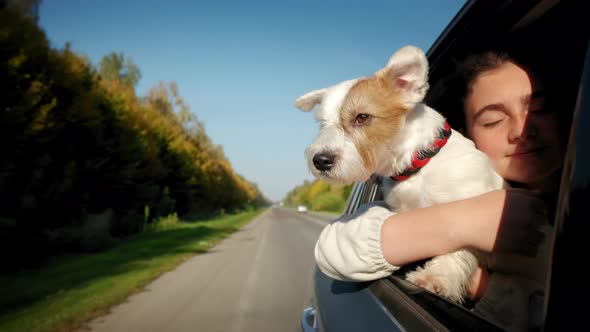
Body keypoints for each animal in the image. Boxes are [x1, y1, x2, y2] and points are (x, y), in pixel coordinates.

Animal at [294, 44, 506, 304]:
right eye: (323, 124)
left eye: (362, 117)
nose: (320, 160)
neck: (418, 166)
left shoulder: (468, 205)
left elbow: (459, 248)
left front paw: (437, 277)